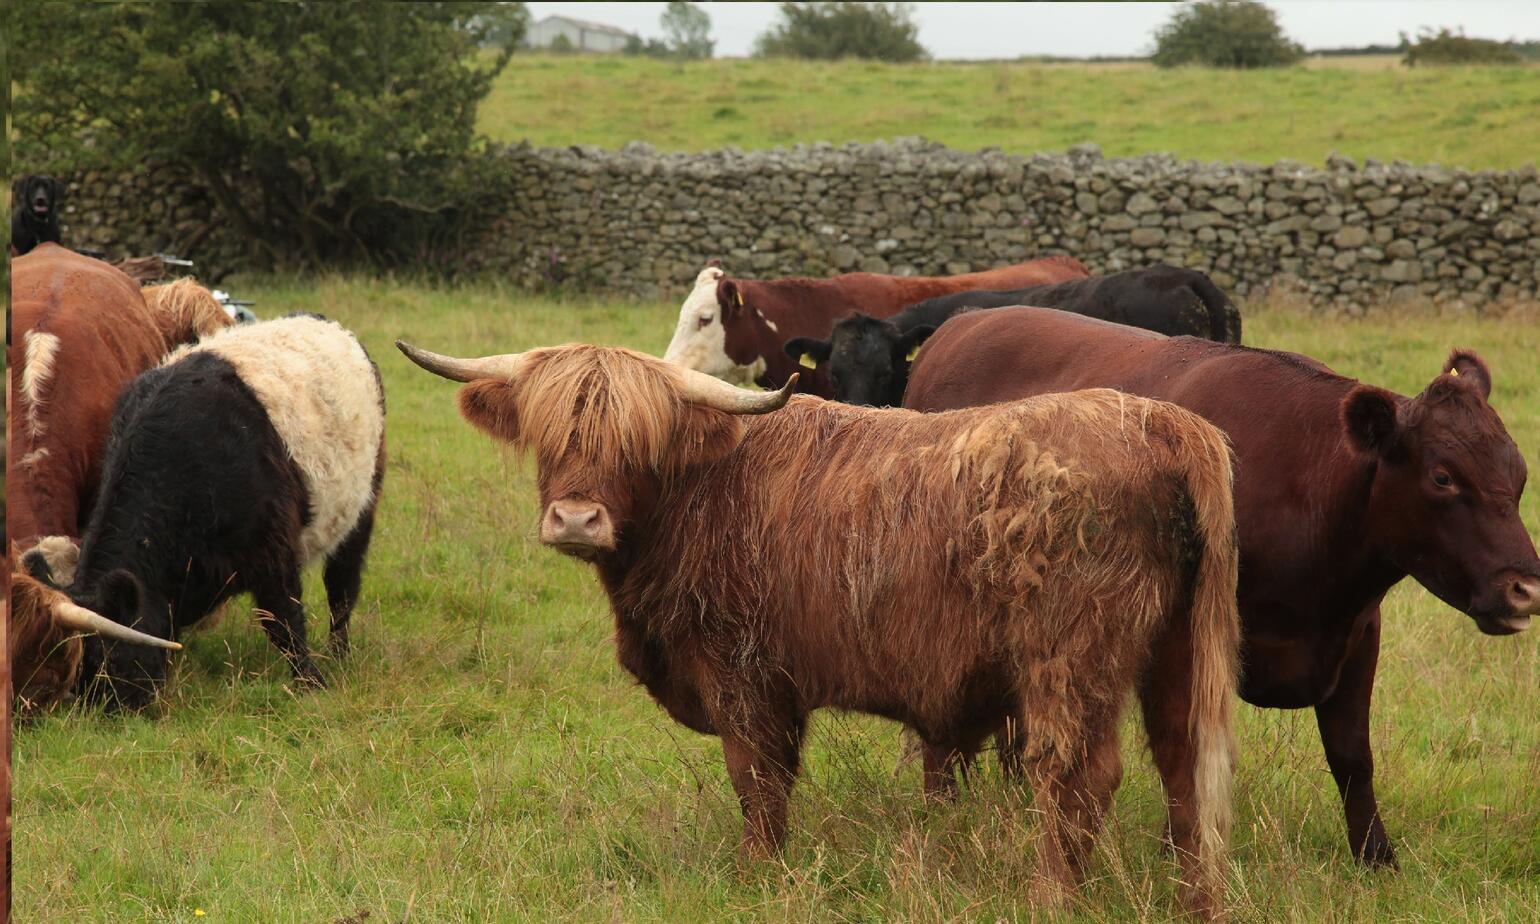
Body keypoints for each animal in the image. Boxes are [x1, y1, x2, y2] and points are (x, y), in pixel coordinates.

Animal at [25, 314, 386, 710]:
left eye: (110, 657)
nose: (108, 712)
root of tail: (324, 323)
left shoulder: (273, 554)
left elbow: (284, 621)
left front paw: (311, 681)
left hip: (359, 512)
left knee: (342, 589)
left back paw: (339, 654)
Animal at [397, 338, 1241, 918]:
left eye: (636, 442)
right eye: (549, 437)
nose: (576, 519)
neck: (700, 491)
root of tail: (1158, 420)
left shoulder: (743, 674)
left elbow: (758, 781)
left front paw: (756, 877)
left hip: (1066, 660)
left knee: (1077, 774)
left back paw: (1048, 895)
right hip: (1173, 655)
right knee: (1184, 769)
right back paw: (1192, 897)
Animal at [904, 306, 1540, 868]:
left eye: (1519, 473)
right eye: (1443, 477)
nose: (1525, 589)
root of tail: (958, 326)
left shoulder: (1359, 632)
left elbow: (1353, 756)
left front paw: (1375, 858)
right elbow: (1191, 748)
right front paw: (1178, 850)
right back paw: (945, 810)